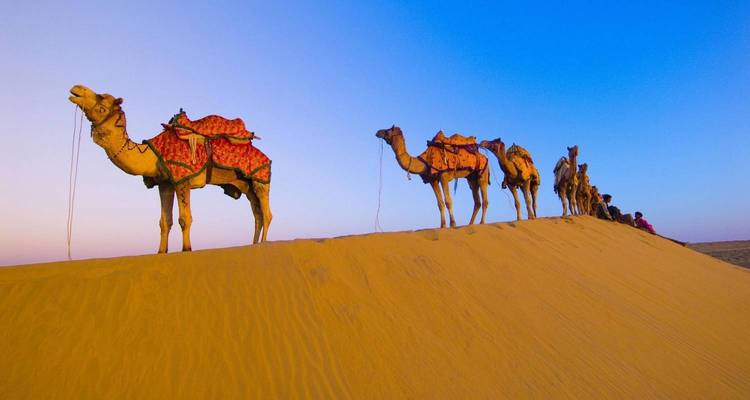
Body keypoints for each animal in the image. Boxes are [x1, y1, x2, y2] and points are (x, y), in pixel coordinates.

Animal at [68, 85, 272, 253]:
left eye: (101, 100)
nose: (75, 89)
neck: (152, 154)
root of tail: (266, 157)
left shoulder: (183, 180)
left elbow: (185, 219)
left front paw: (186, 249)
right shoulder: (164, 183)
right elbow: (164, 222)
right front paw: (161, 251)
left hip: (260, 179)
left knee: (266, 214)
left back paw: (263, 243)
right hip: (245, 185)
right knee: (257, 214)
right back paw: (254, 244)